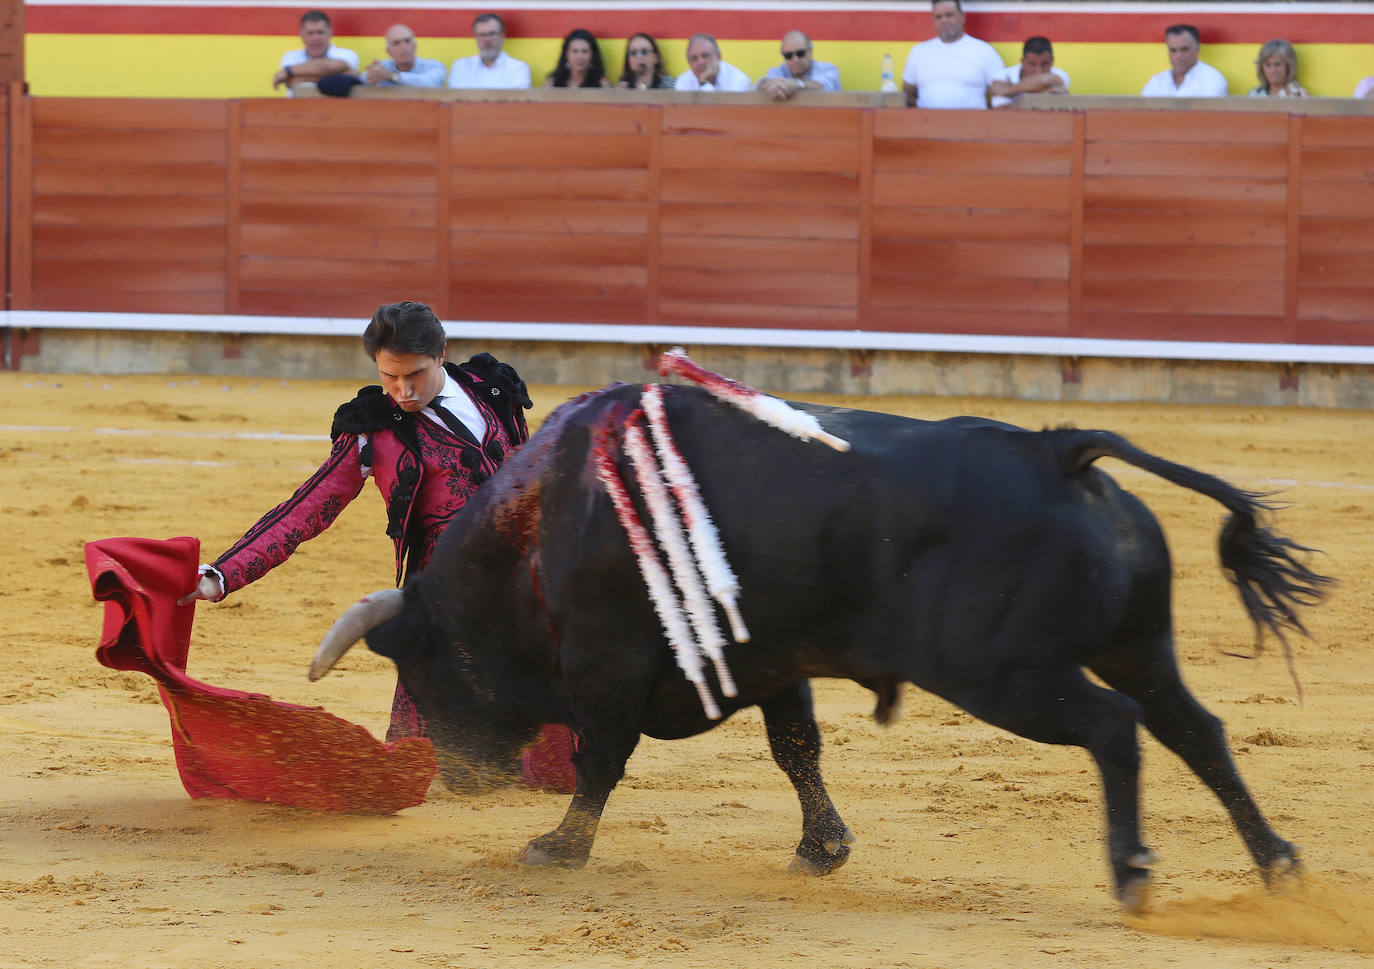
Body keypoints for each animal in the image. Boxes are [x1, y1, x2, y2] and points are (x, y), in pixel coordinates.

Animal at [314, 384, 1330, 907]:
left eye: (425, 664)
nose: (458, 773)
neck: (547, 521)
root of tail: (1059, 452)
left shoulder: (610, 666)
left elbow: (602, 761)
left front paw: (558, 847)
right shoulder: (770, 661)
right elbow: (796, 747)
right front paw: (823, 848)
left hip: (1005, 672)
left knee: (1116, 728)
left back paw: (1133, 871)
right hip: (1139, 645)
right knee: (1196, 730)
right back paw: (1278, 862)